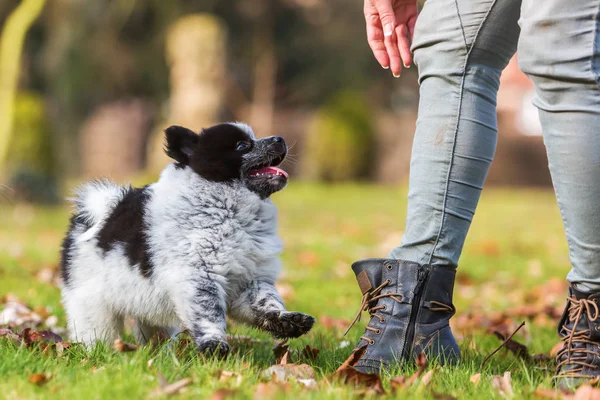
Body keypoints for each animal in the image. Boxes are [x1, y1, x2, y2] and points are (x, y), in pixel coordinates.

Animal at [59, 122, 316, 356]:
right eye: (242, 145)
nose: (280, 139)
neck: (227, 209)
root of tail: (92, 215)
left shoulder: (250, 280)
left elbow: (267, 302)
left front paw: (286, 321)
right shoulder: (199, 276)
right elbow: (209, 313)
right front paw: (214, 345)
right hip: (93, 306)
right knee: (96, 333)